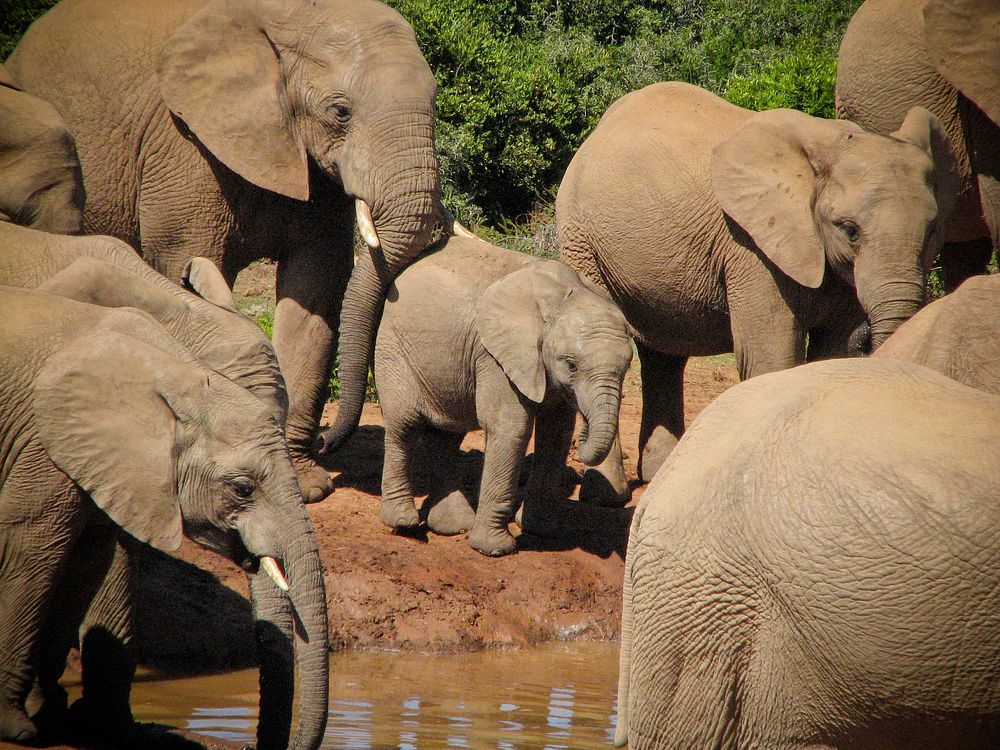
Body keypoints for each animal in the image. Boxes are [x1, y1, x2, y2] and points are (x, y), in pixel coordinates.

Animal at [7, 0, 452, 506]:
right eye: (340, 111)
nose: (326, 440)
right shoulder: (181, 144)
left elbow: (316, 290)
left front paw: (306, 486)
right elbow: (189, 267)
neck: (291, 18)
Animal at [322, 236, 632, 560]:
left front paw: (541, 530)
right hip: (393, 347)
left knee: (446, 434)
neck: (563, 295)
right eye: (571, 365)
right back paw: (404, 523)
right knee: (403, 426)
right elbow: (511, 428)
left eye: (626, 367)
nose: (586, 433)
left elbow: (556, 434)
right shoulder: (494, 356)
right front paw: (496, 550)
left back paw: (453, 526)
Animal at [560, 82, 956, 482]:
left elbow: (830, 353)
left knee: (664, 355)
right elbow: (771, 355)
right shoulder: (750, 247)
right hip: (581, 239)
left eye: (933, 231)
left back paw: (658, 472)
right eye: (850, 230)